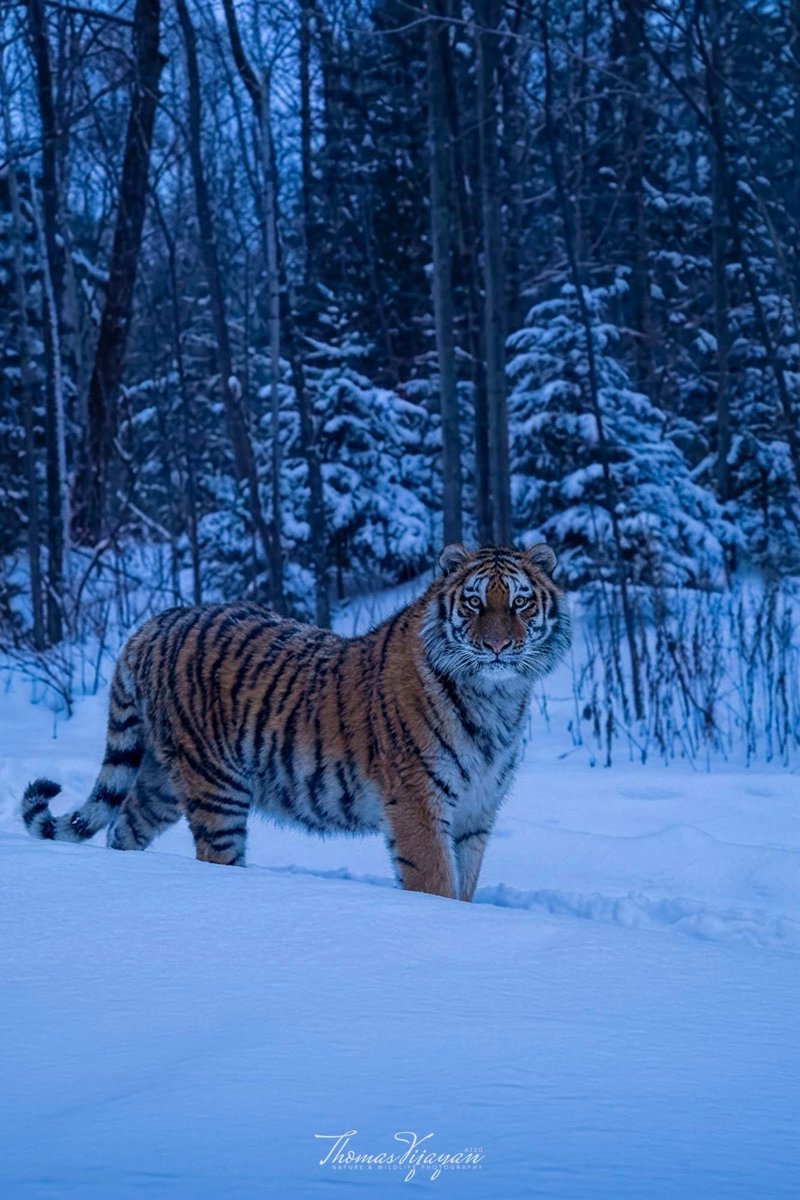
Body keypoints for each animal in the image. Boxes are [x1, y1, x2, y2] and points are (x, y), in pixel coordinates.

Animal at [21, 543, 570, 900]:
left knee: (124, 827)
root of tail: (153, 624)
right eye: (474, 602)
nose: (497, 647)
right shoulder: (419, 804)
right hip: (215, 788)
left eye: (520, 602)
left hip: (160, 779)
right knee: (213, 853)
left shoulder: (477, 811)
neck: (496, 698)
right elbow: (436, 885)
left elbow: (465, 886)